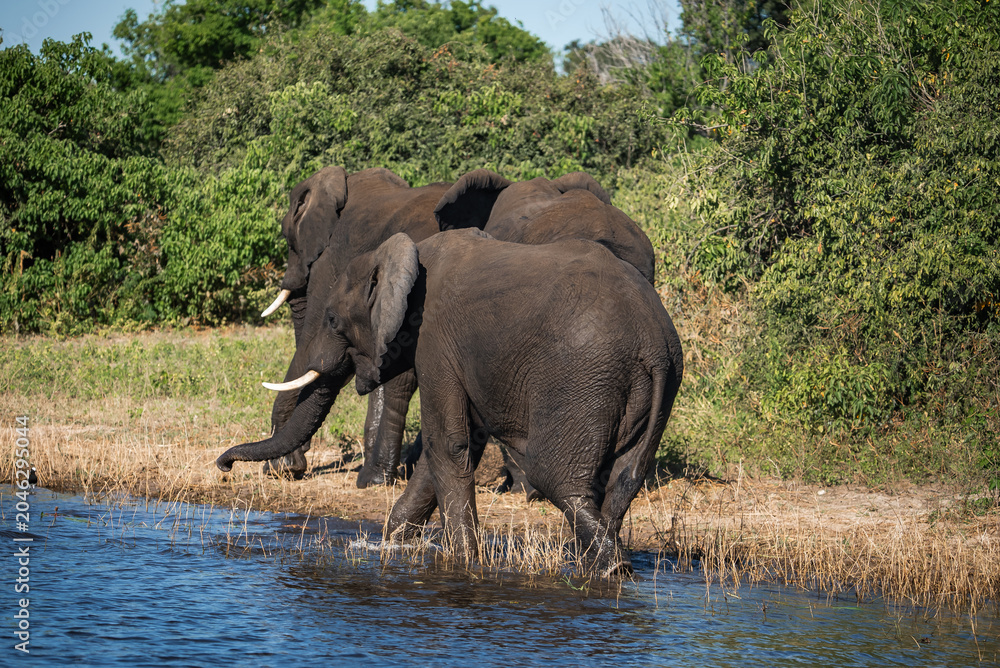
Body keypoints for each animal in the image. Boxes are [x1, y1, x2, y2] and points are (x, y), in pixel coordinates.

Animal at [218, 229, 684, 575]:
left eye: (333, 320)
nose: (223, 466)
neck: (406, 255)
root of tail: (655, 342)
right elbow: (449, 450)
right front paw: (391, 544)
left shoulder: (435, 339)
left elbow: (448, 444)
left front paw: (461, 561)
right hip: (654, 390)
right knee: (624, 478)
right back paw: (599, 567)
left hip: (582, 381)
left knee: (559, 480)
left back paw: (609, 569)